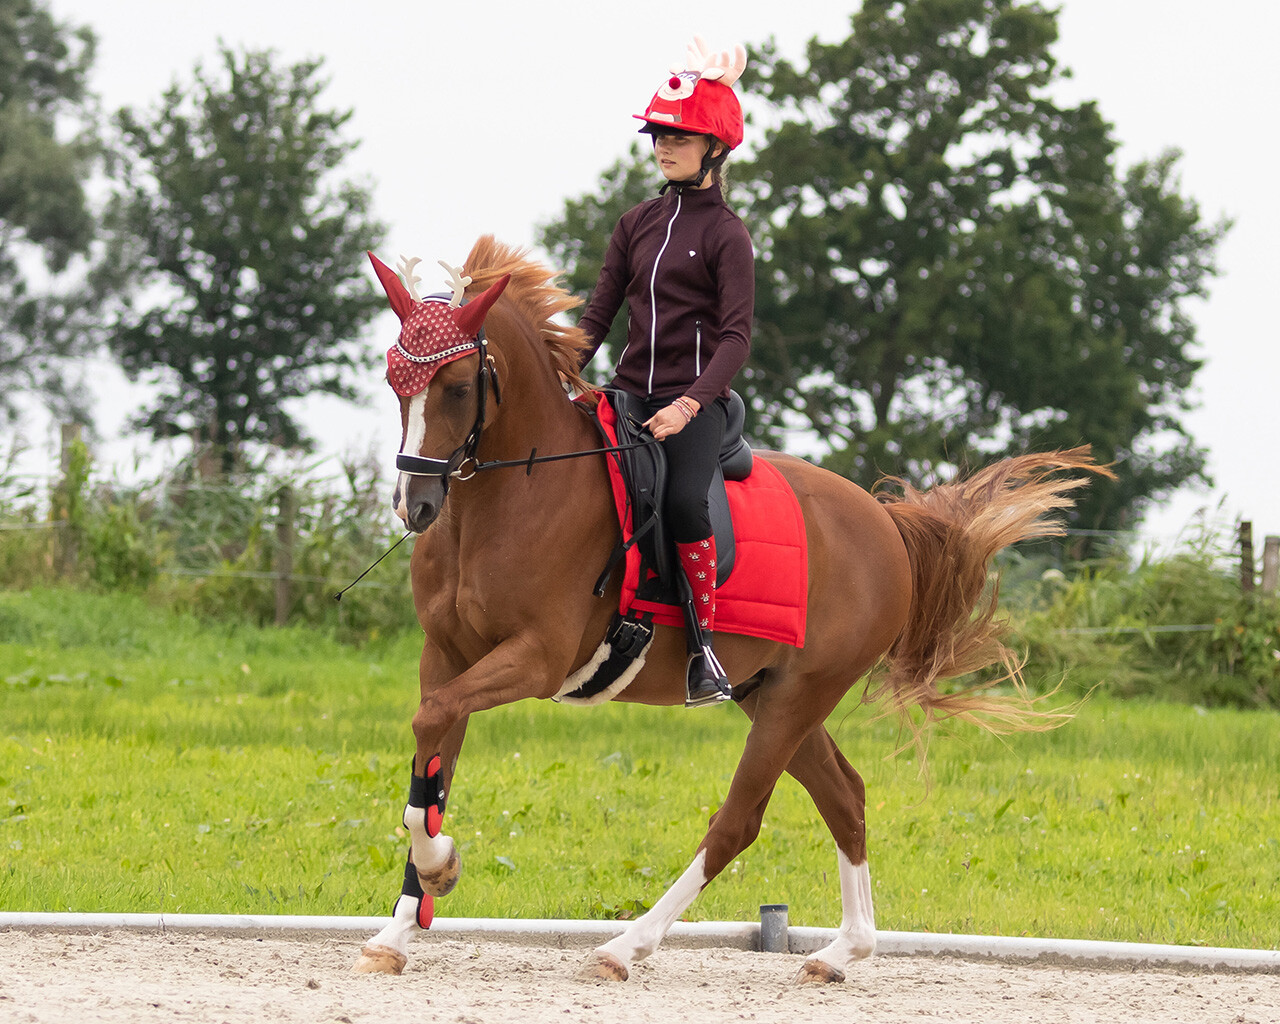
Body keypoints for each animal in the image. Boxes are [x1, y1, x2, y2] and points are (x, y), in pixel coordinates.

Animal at [353, 234, 1111, 983]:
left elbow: (434, 733)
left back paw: (627, 947)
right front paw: (400, 927)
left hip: (798, 697)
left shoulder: (537, 658)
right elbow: (432, 765)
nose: (415, 505)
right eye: (395, 381)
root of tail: (885, 524)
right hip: (771, 693)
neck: (510, 498)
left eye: (457, 387)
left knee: (740, 821)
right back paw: (842, 953)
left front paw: (441, 868)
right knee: (846, 795)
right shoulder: (446, 657)